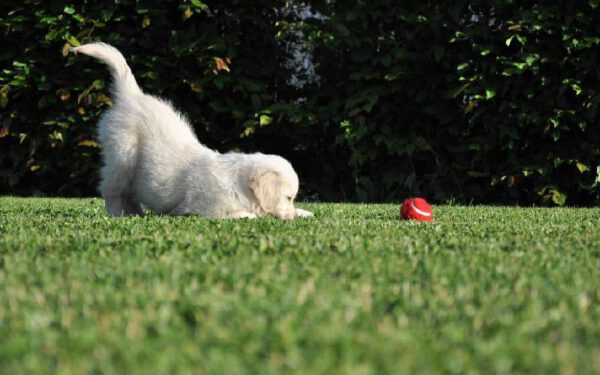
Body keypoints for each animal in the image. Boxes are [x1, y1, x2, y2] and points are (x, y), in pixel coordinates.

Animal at [72, 42, 312, 220]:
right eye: (288, 197)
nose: (291, 217)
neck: (240, 185)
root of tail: (132, 96)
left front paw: (304, 212)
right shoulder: (206, 209)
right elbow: (243, 214)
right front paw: (253, 215)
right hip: (122, 156)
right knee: (112, 189)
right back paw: (119, 213)